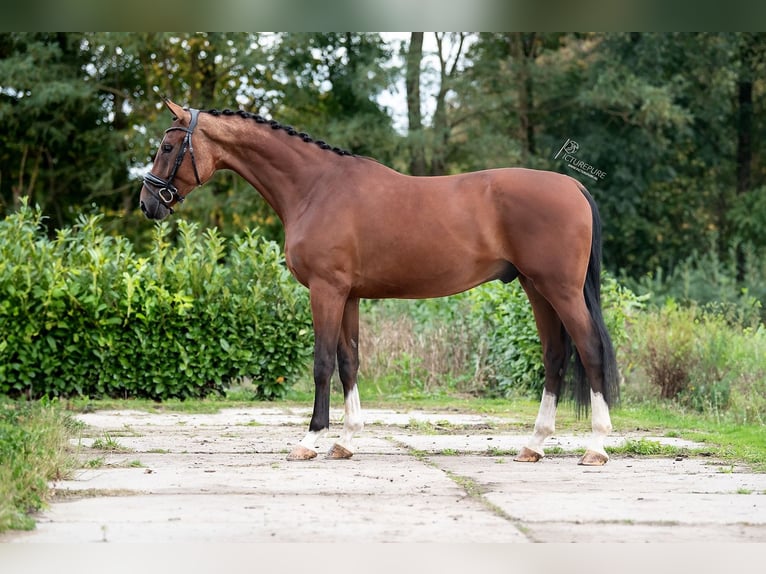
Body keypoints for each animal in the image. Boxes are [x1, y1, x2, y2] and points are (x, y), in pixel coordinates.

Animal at [141, 99, 620, 468]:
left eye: (167, 145)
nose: (148, 204)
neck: (316, 187)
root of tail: (573, 186)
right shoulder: (348, 296)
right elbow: (349, 361)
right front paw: (345, 441)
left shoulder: (326, 291)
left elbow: (322, 364)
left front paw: (310, 440)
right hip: (536, 289)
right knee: (555, 356)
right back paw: (533, 445)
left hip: (558, 289)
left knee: (590, 350)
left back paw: (596, 447)